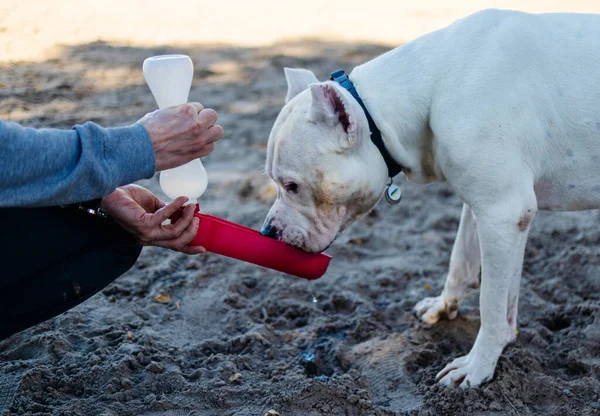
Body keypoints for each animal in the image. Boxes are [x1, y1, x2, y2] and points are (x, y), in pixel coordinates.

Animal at [260, 8, 600, 388]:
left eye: (292, 185)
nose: (268, 232)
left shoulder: (502, 212)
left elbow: (491, 302)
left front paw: (477, 366)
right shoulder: (487, 209)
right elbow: (462, 261)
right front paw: (445, 307)